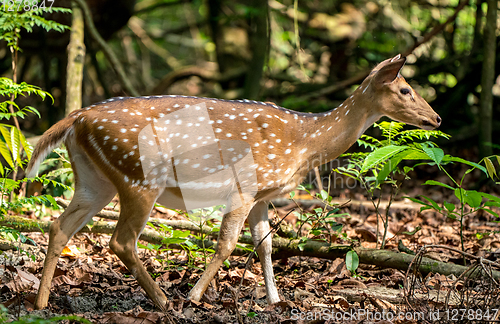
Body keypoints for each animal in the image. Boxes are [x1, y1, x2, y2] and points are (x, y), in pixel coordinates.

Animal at [28, 54, 442, 310]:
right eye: (405, 90)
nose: (436, 118)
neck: (304, 142)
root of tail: (76, 118)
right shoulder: (244, 186)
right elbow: (227, 243)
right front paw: (195, 296)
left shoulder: (262, 194)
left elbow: (265, 245)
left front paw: (276, 299)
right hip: (140, 177)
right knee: (121, 240)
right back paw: (164, 301)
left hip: (94, 180)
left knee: (59, 225)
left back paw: (41, 301)